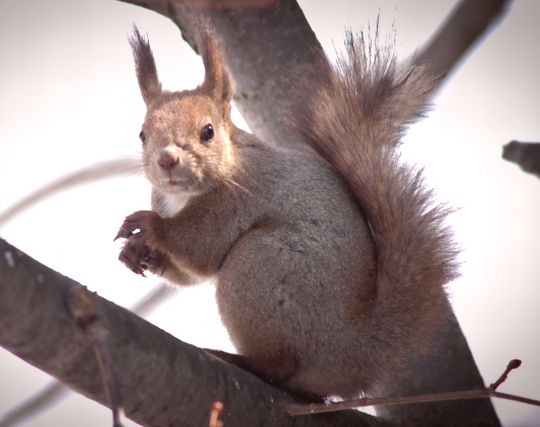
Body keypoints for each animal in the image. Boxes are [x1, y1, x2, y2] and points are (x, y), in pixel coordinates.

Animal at [116, 24, 458, 402]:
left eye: (208, 132)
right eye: (142, 134)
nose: (166, 159)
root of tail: (353, 353)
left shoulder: (235, 201)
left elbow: (200, 247)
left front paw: (149, 226)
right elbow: (186, 274)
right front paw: (138, 252)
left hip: (262, 268)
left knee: (280, 366)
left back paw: (241, 360)